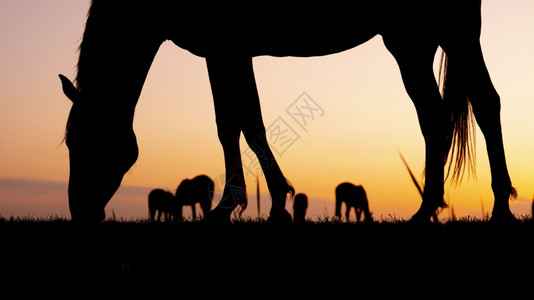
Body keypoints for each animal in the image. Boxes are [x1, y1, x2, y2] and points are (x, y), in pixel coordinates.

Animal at [60, 1, 516, 224]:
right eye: (69, 144)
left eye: (91, 143)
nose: (80, 212)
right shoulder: (235, 52)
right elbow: (250, 122)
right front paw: (276, 200)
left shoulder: (222, 49)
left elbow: (229, 124)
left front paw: (230, 206)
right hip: (415, 42)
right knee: (446, 114)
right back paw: (433, 208)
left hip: (444, 34)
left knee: (477, 106)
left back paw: (494, 207)